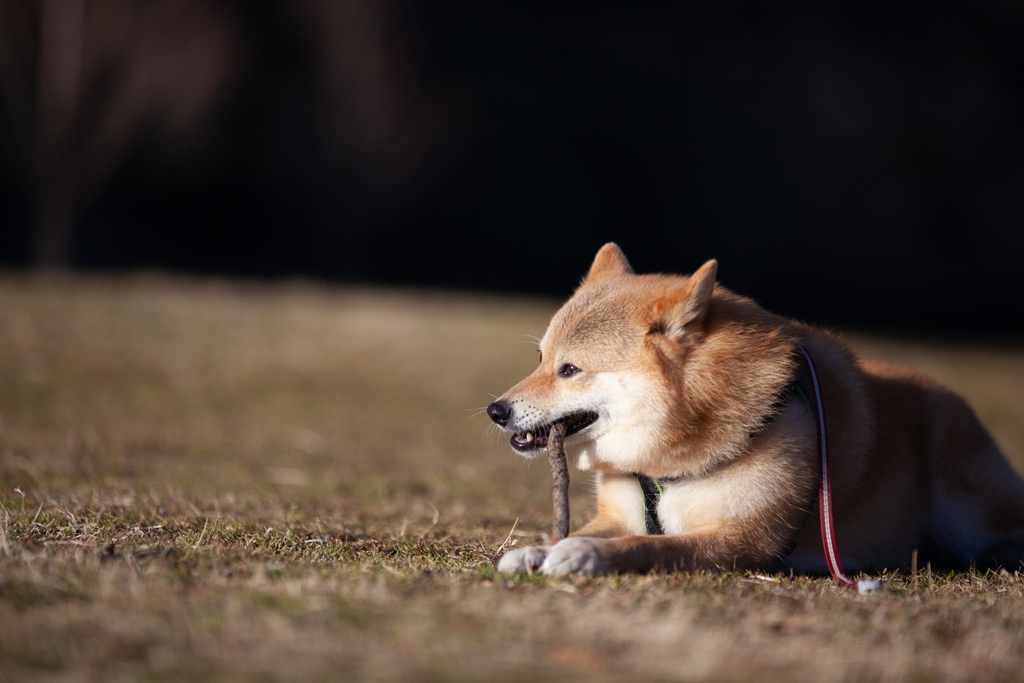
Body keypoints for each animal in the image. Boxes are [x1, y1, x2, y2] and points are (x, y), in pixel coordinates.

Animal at [485, 245, 1024, 577]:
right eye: (540, 360)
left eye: (570, 369)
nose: (496, 410)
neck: (666, 466)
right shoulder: (621, 513)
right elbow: (588, 533)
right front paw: (538, 549)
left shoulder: (741, 541)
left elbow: (646, 545)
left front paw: (585, 554)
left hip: (965, 502)